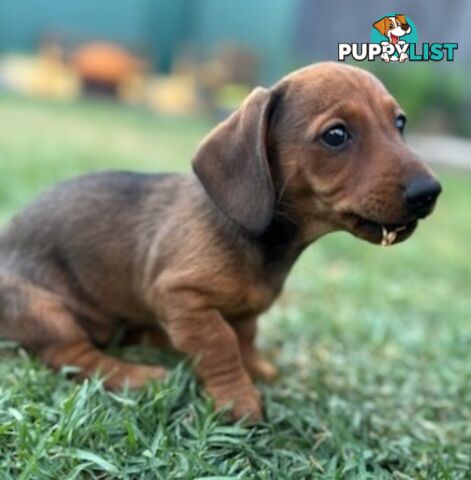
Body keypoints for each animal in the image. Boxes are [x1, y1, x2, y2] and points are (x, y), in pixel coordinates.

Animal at [0, 62, 442, 420]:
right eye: (336, 135)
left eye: (400, 123)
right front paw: (238, 399)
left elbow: (244, 337)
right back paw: (137, 374)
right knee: (72, 355)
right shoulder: (181, 295)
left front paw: (257, 369)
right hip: (47, 310)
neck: (265, 244)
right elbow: (221, 343)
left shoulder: (243, 311)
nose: (430, 192)